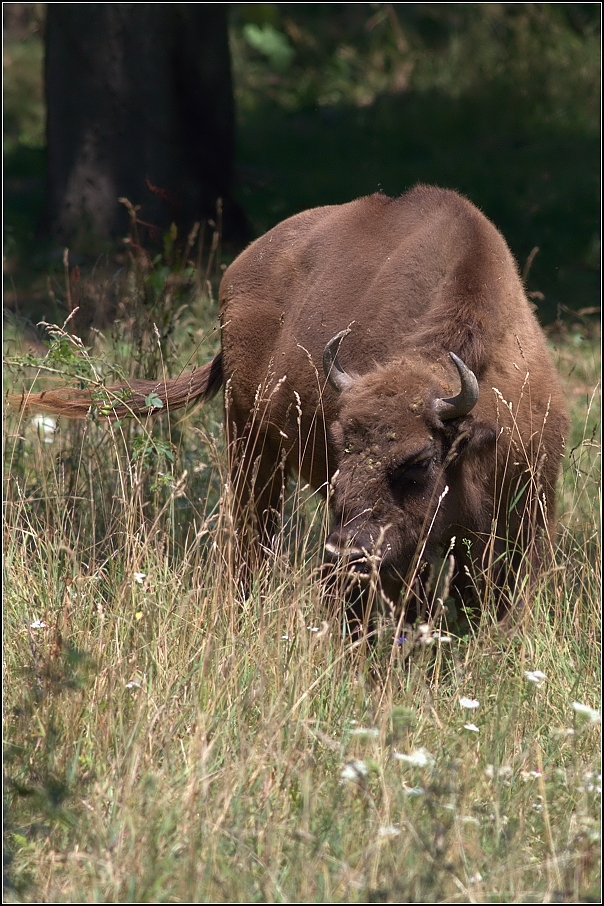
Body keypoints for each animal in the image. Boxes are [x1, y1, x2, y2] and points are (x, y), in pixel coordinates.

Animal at [15, 185, 572, 620]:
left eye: (419, 462)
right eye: (342, 445)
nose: (347, 551)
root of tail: (240, 271)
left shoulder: (518, 523)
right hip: (247, 441)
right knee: (250, 534)